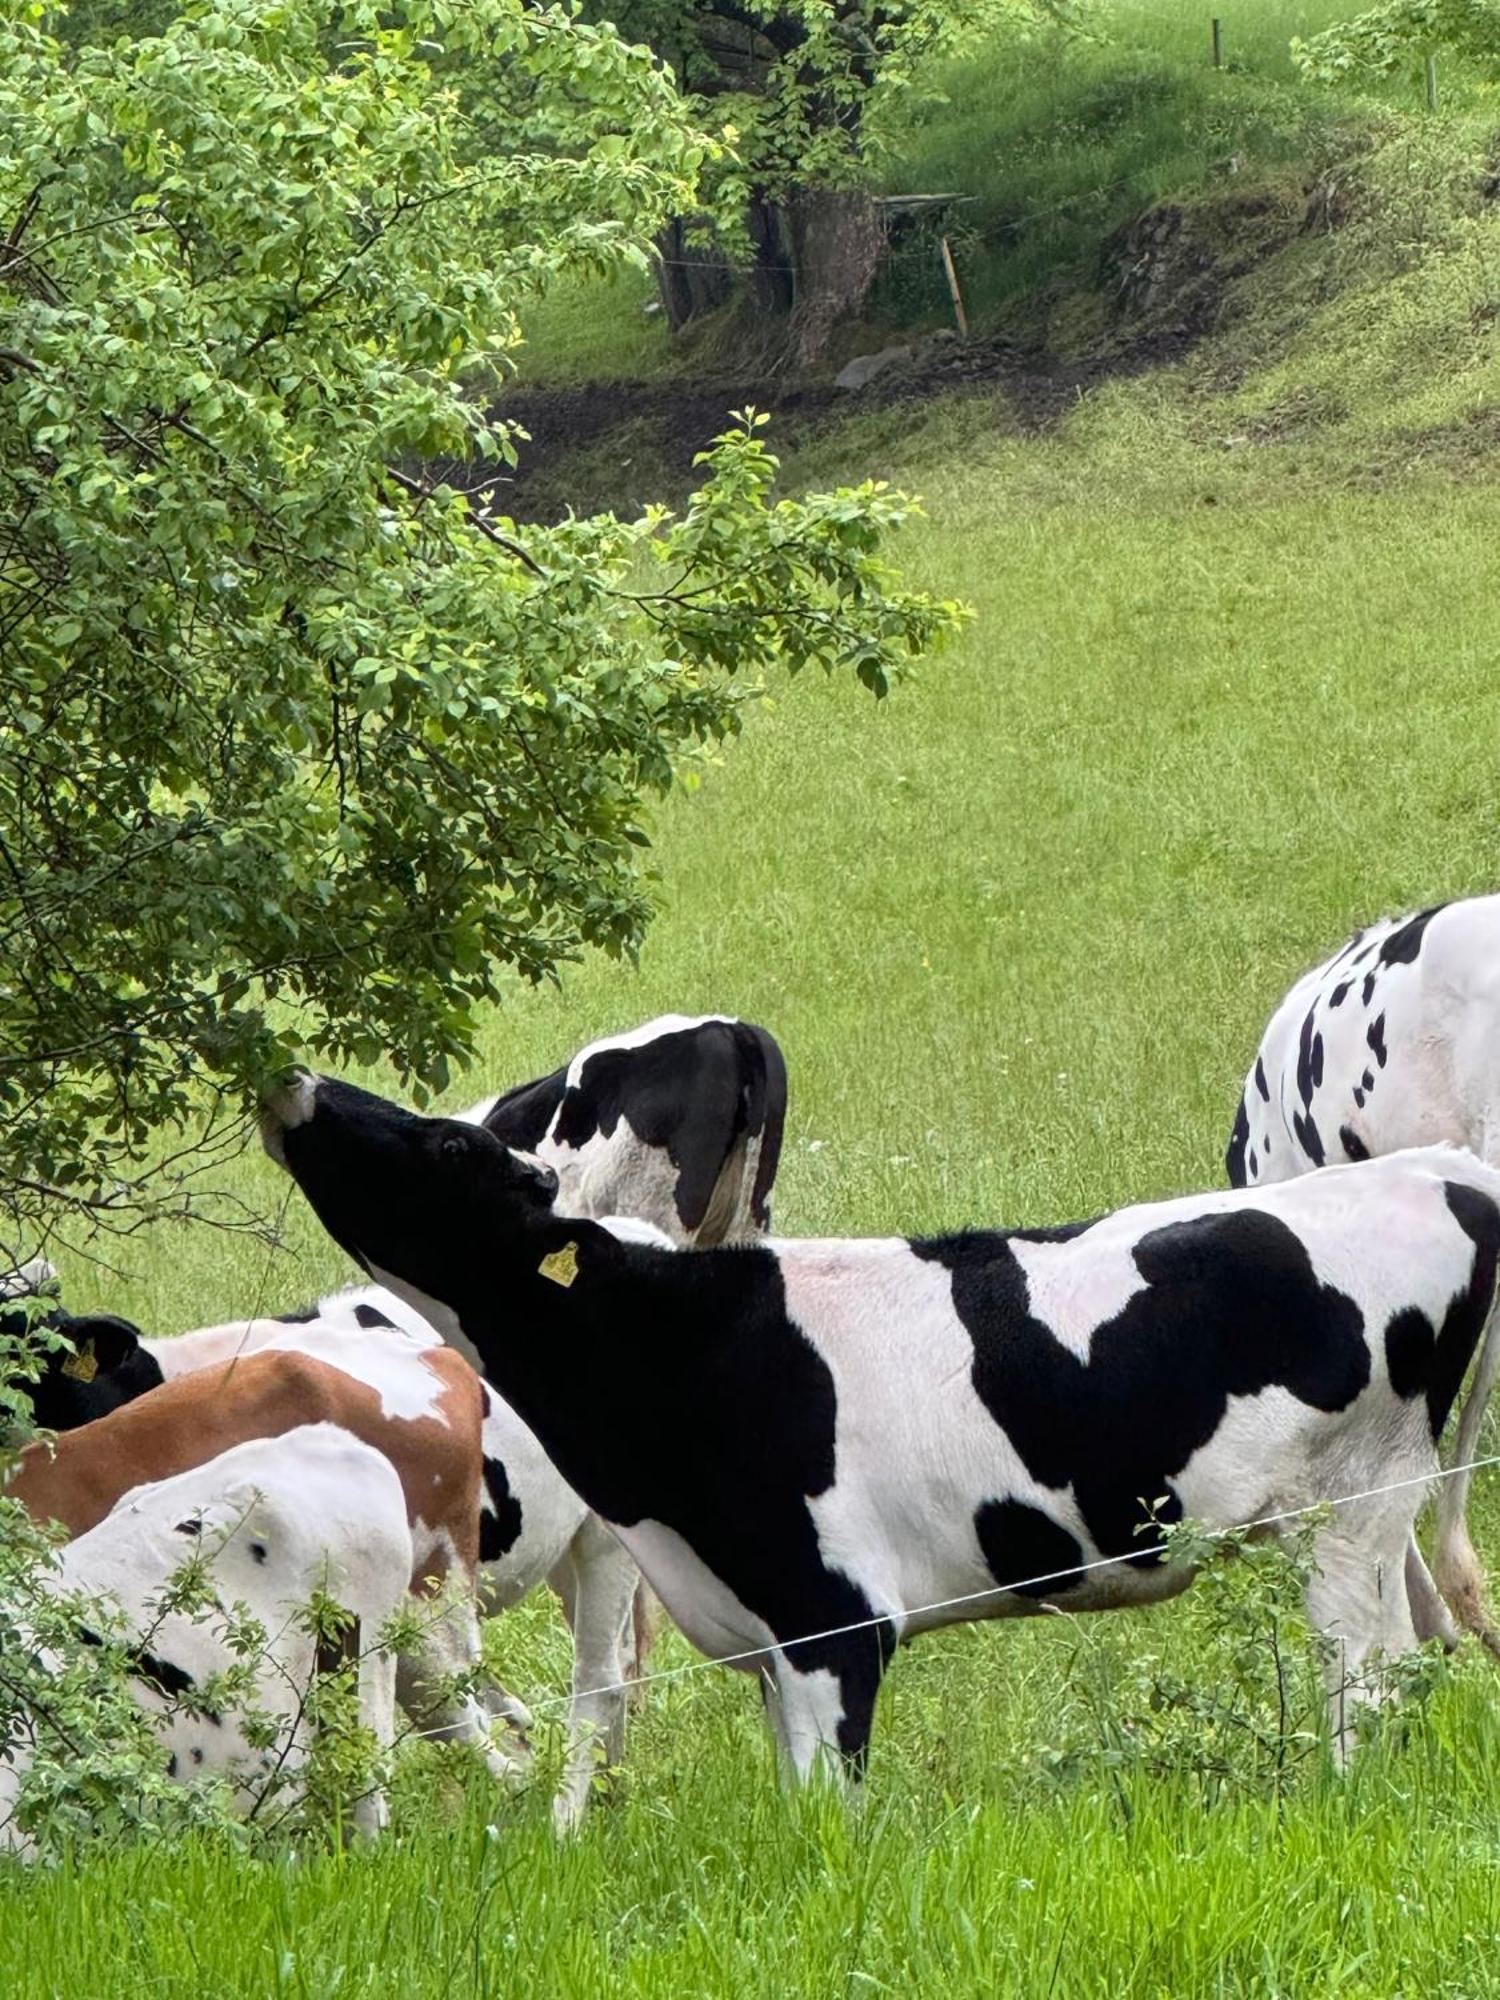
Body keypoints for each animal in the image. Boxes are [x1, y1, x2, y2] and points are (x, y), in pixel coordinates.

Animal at [264, 1080, 1500, 1784]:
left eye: (446, 1150)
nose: (295, 1076)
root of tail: (1445, 1169)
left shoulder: (835, 1621)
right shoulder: (760, 1630)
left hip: (1351, 1513)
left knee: (1362, 1685)